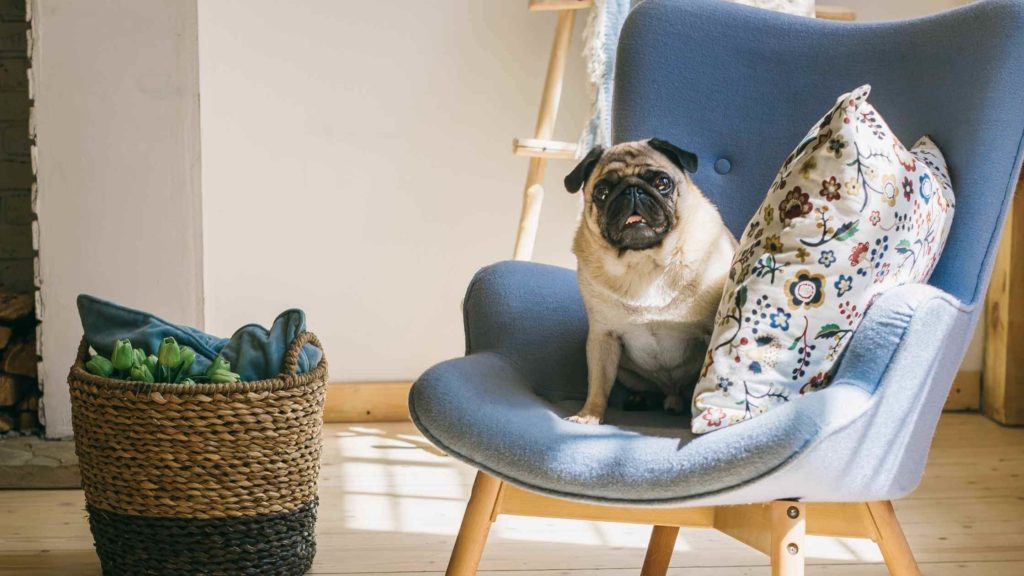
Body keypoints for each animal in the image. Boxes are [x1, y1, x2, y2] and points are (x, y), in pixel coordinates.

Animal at [561, 138, 737, 422]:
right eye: (602, 191)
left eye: (663, 183)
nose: (632, 191)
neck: (643, 261)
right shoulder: (602, 337)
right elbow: (598, 382)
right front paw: (589, 415)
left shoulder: (709, 332)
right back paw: (641, 399)